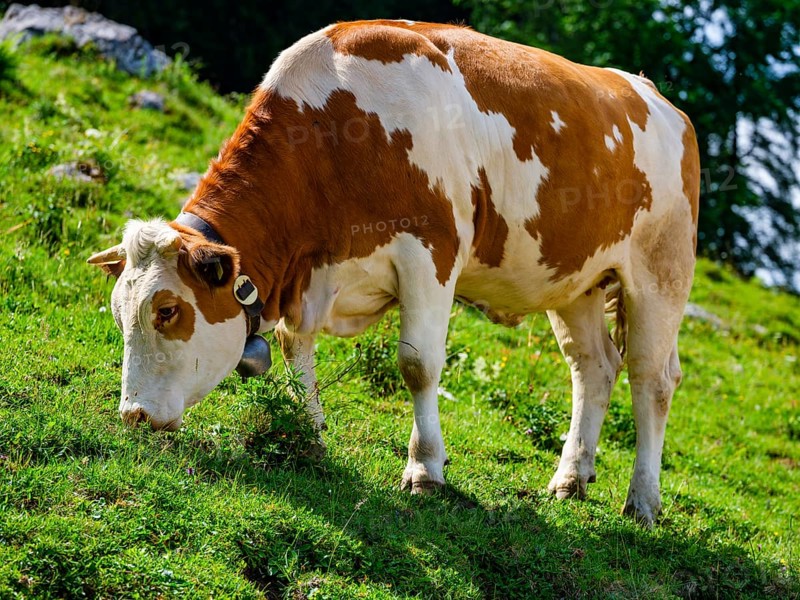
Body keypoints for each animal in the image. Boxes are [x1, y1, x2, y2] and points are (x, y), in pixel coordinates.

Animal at [88, 20, 700, 526]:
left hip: (661, 270)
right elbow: (294, 349)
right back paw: (571, 478)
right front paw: (308, 436)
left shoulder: (430, 254)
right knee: (593, 368)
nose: (134, 415)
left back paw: (643, 502)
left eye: (168, 311)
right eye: (119, 314)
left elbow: (417, 365)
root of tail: (656, 96)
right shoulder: (312, 277)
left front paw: (425, 470)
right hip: (578, 279)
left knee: (652, 379)